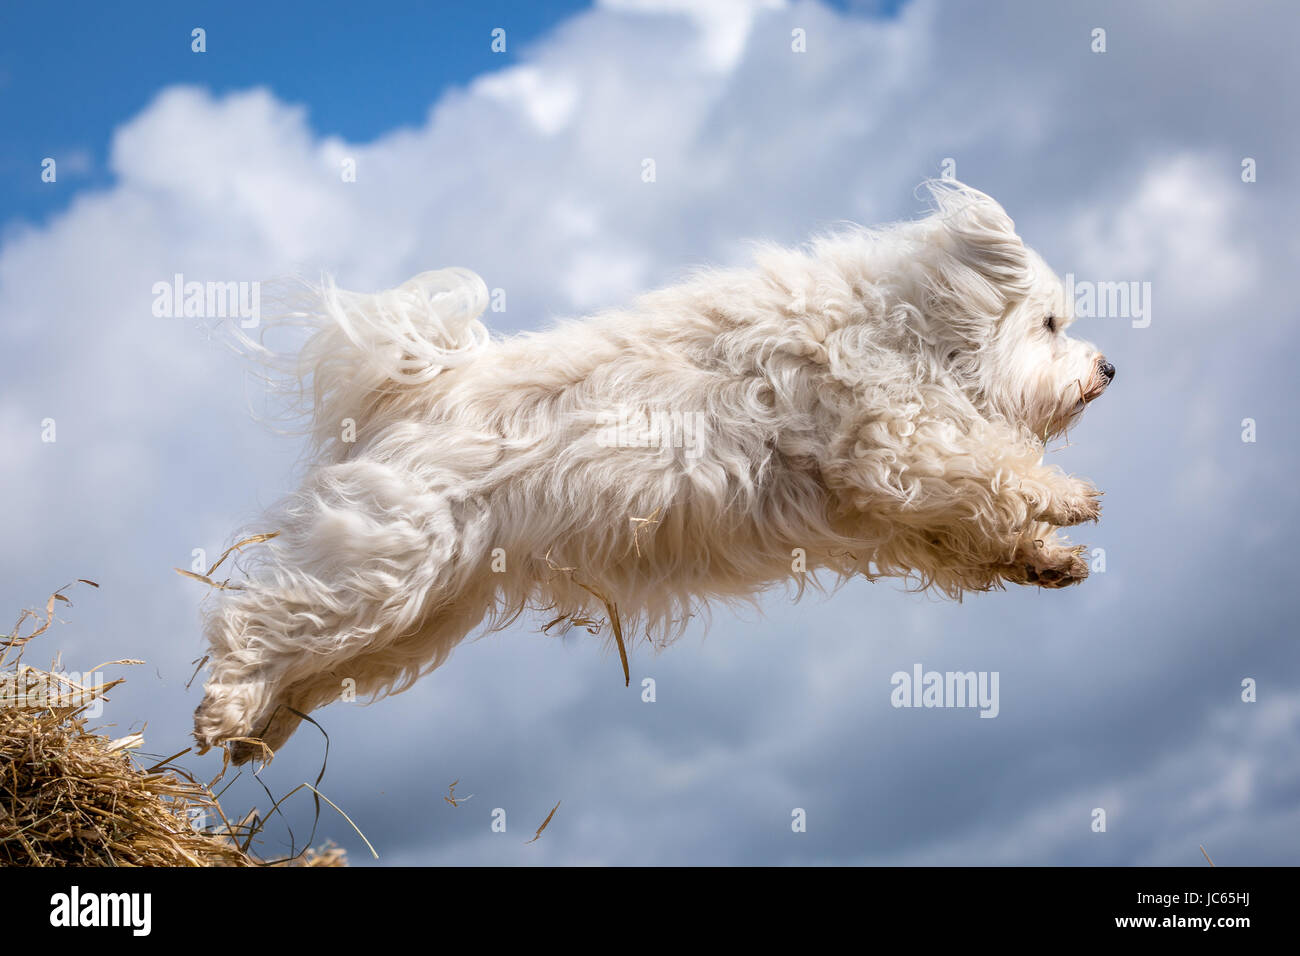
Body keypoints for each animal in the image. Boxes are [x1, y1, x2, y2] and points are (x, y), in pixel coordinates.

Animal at [195, 180, 1118, 764]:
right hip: (388, 564)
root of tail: (419, 387)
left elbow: (975, 533)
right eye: (1049, 322)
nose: (1107, 368)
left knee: (318, 666)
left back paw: (255, 734)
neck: (913, 326)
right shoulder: (894, 443)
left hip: (427, 607)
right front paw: (1069, 500)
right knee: (258, 622)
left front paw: (1048, 559)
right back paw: (224, 710)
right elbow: (995, 466)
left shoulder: (897, 507)